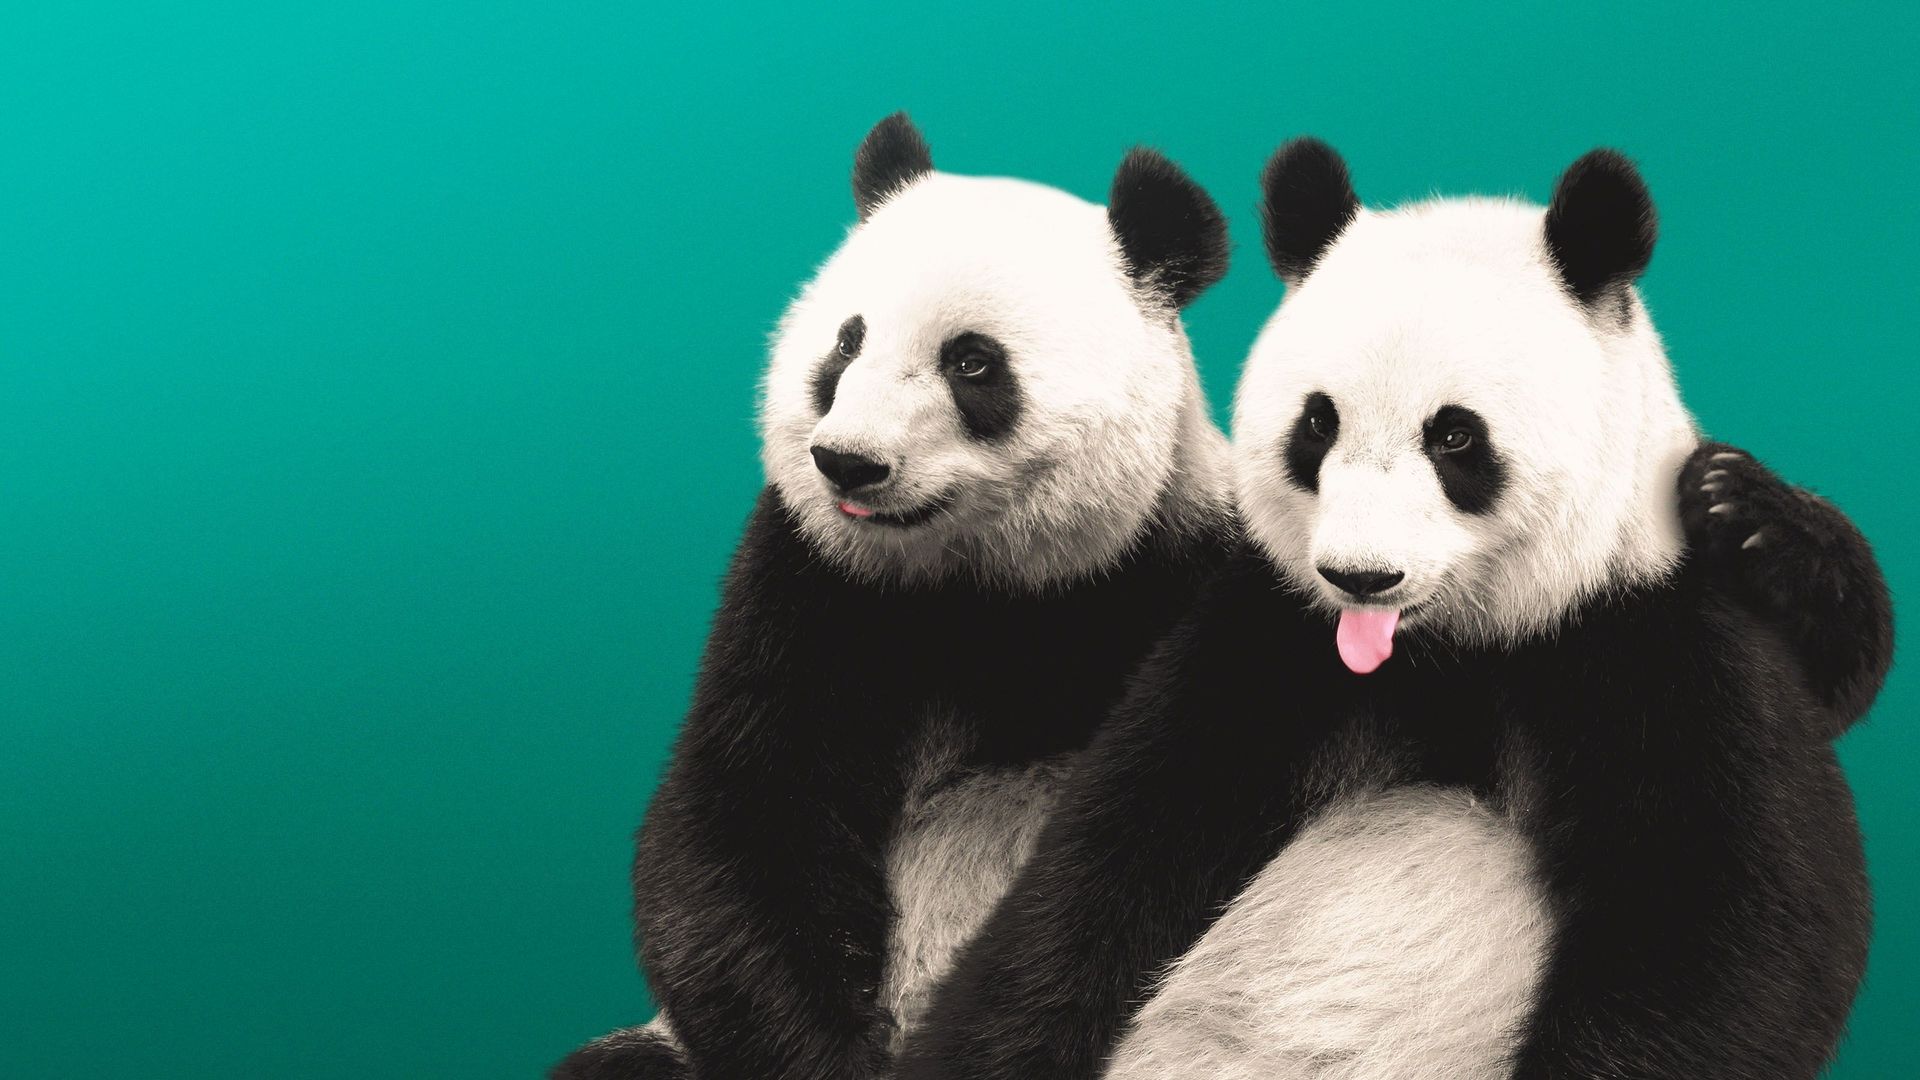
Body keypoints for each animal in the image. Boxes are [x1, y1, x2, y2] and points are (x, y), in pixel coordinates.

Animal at [551, 114, 1236, 1080]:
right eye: (847, 342)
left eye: (973, 363)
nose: (848, 462)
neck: (979, 586)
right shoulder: (811, 585)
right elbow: (742, 815)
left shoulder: (1175, 570)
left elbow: (1148, 838)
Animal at [897, 142, 1893, 1080]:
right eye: (1317, 424)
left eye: (1455, 436)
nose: (1360, 577)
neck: (1451, 649)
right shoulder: (1265, 646)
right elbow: (1114, 858)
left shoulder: (1646, 642)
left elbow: (1712, 927)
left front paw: (1756, 520)